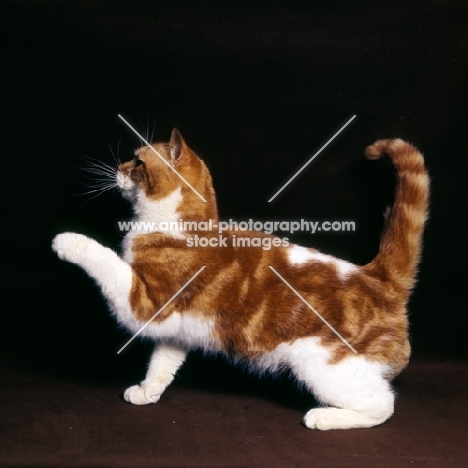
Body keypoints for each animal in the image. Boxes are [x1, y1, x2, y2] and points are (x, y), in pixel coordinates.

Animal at [51, 130, 428, 430]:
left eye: (137, 161)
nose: (118, 168)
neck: (178, 226)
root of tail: (375, 276)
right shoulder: (175, 329)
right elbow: (161, 364)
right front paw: (147, 391)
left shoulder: (143, 304)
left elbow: (106, 260)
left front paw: (67, 240)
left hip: (325, 367)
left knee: (383, 405)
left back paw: (325, 417)